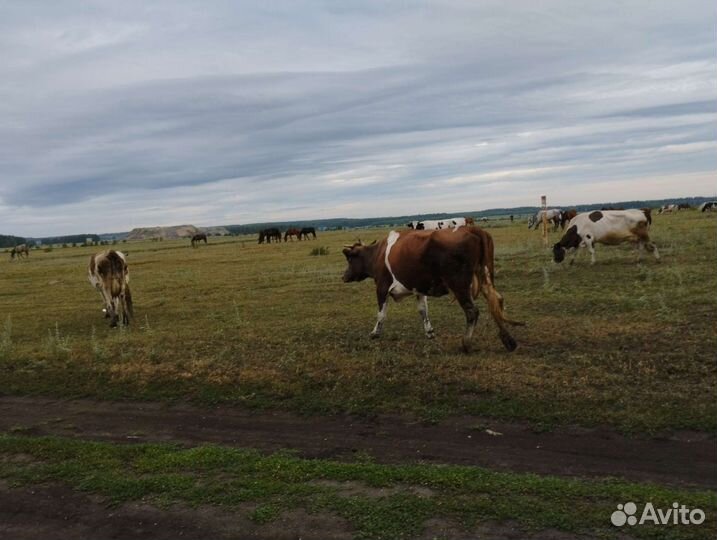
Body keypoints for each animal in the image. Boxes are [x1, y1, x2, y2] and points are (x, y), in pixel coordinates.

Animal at [341, 227, 523, 353]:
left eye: (350, 259)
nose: (343, 276)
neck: (378, 254)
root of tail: (472, 229)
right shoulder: (419, 289)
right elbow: (423, 310)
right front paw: (429, 332)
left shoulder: (382, 287)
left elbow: (381, 313)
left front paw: (375, 333)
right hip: (484, 277)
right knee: (496, 303)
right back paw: (509, 341)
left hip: (459, 284)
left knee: (473, 311)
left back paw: (466, 344)